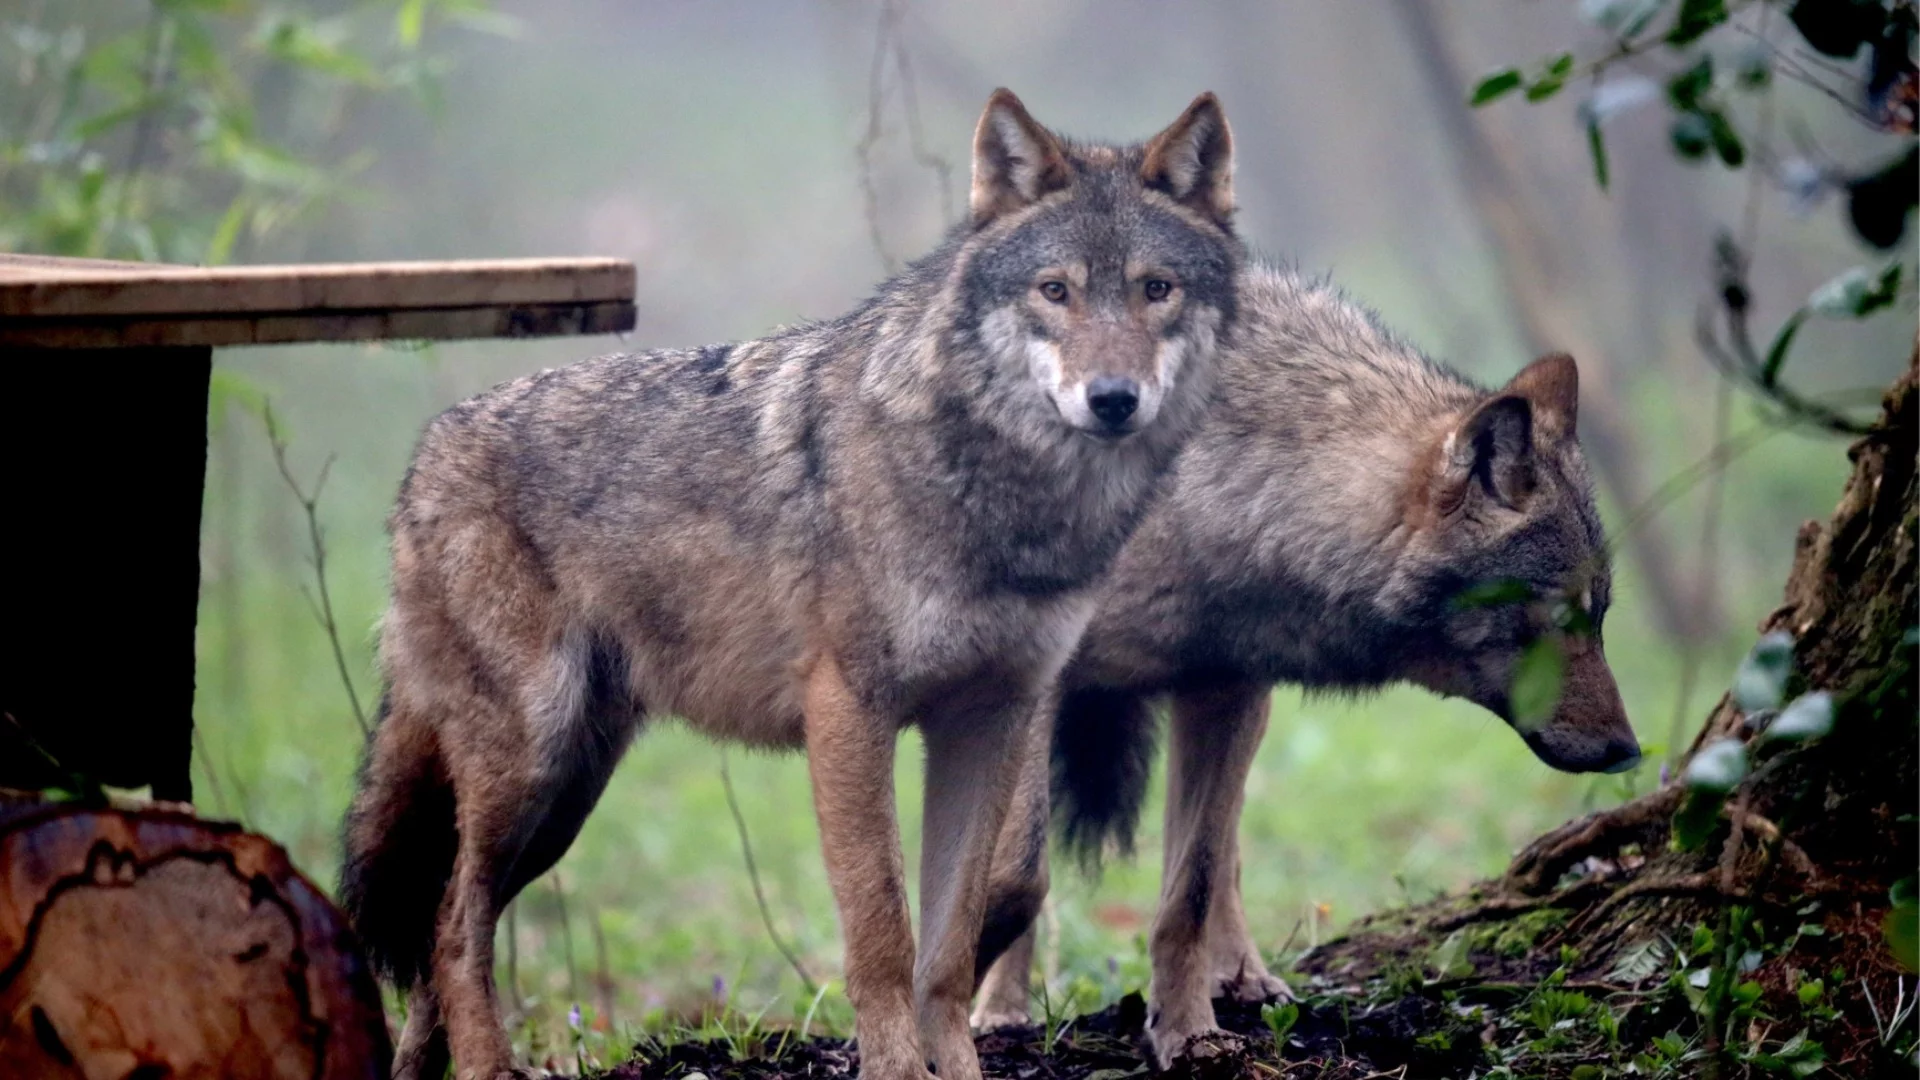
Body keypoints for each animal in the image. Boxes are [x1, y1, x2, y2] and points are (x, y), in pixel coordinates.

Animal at [341, 85, 1244, 1076]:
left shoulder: (992, 720)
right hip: (531, 766)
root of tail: (423, 458)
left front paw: (957, 1068)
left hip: (565, 796)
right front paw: (895, 1071)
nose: (1113, 399)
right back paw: (489, 1064)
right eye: (1056, 291)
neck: (1003, 502)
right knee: (452, 927)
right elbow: (882, 931)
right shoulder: (848, 711)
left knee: (435, 932)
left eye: (1156, 289)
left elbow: (951, 945)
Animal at [967, 261, 1643, 1060]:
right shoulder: (1030, 685)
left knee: (1223, 852)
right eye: (1560, 617)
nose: (1629, 752)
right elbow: (1013, 876)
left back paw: (1245, 977)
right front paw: (962, 1010)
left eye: (1599, 616)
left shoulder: (1222, 686)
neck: (1201, 503)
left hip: (1241, 710)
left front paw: (1189, 1034)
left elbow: (1192, 889)